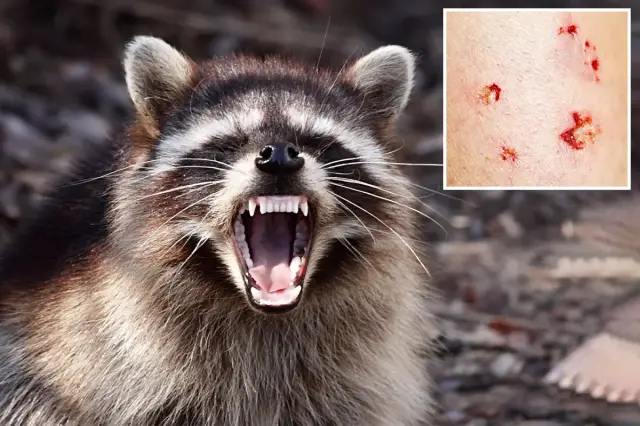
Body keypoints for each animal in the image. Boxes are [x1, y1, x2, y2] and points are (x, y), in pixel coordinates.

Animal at [0, 36, 435, 425]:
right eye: (229, 144)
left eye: (318, 142)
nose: (280, 156)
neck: (263, 314)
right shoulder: (118, 360)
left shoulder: (353, 377)